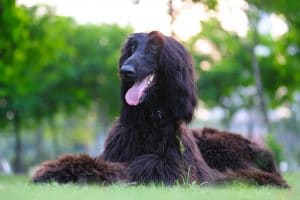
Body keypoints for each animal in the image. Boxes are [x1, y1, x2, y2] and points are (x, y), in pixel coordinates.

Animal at [32, 31, 288, 188]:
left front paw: (86, 171)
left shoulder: (180, 170)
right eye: (131, 48)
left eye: (155, 49)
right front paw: (60, 168)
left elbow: (141, 165)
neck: (149, 120)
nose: (125, 71)